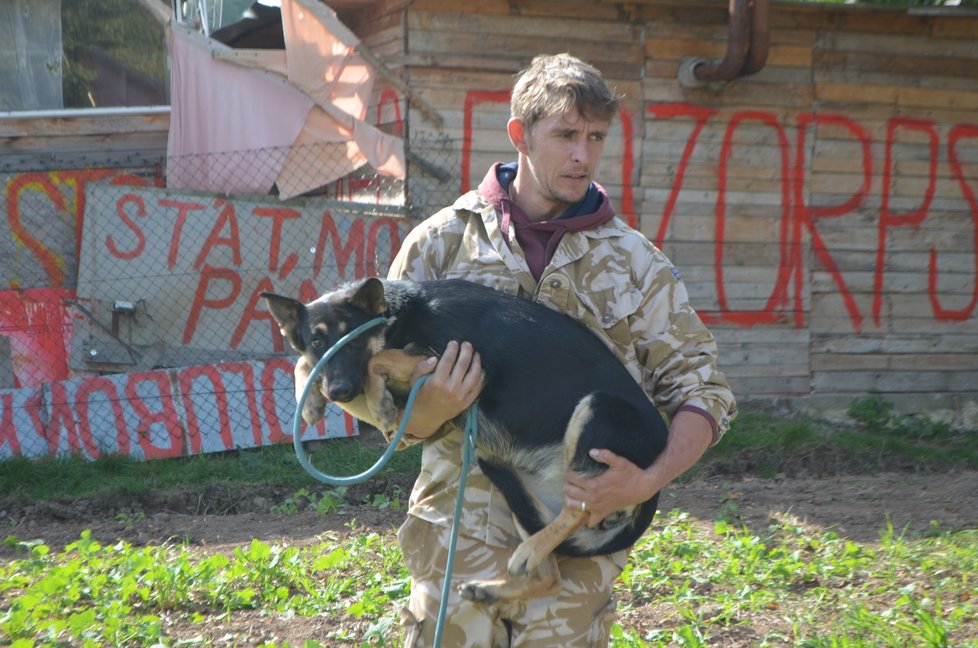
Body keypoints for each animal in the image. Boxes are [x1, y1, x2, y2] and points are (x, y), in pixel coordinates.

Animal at [260, 278, 668, 604]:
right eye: (317, 341)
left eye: (356, 338)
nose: (340, 392)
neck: (398, 317)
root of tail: (653, 483)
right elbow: (305, 363)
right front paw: (309, 399)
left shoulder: (448, 361)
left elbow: (379, 359)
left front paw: (378, 402)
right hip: (520, 491)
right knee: (548, 575)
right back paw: (495, 586)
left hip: (597, 411)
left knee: (580, 507)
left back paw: (530, 550)